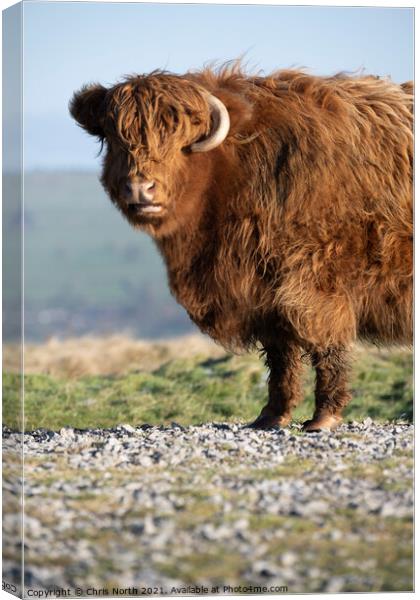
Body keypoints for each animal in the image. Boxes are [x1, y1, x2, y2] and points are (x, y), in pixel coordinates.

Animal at [70, 65, 412, 428]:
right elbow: (281, 356)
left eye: (178, 137)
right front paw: (273, 414)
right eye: (116, 138)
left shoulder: (315, 286)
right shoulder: (261, 294)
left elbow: (325, 347)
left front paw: (324, 416)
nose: (140, 188)